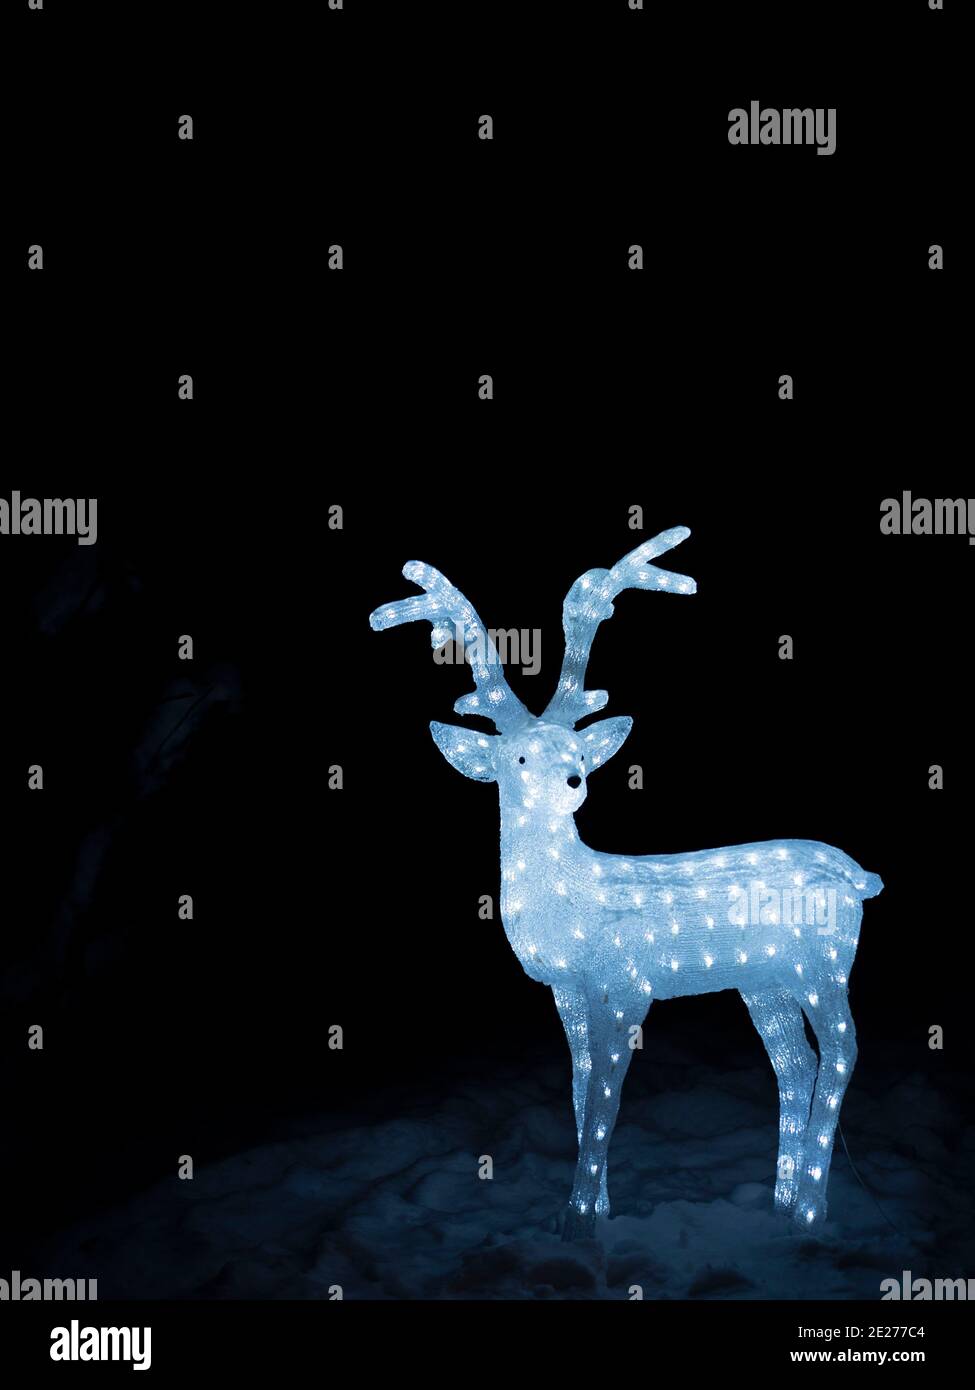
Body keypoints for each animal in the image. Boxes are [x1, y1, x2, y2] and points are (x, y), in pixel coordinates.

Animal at [369, 526, 883, 1241]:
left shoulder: (624, 981)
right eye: (519, 756)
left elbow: (605, 1100)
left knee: (841, 1050)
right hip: (766, 980)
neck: (571, 901)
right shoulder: (569, 991)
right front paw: (596, 1211)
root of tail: (860, 877)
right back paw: (780, 1204)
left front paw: (578, 1220)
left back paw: (810, 1209)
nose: (574, 782)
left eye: (579, 754)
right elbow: (579, 1089)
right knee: (796, 1062)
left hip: (823, 962)